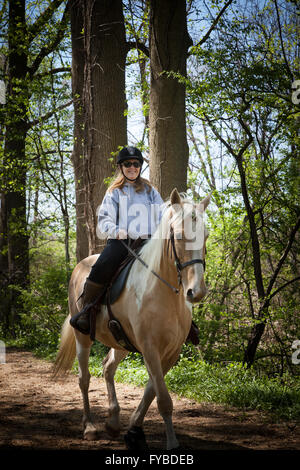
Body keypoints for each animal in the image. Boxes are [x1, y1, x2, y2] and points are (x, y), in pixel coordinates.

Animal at [53, 189, 209, 450]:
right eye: (178, 236)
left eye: (205, 236)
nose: (196, 293)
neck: (164, 292)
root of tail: (80, 265)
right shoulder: (150, 348)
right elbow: (163, 399)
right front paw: (171, 443)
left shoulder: (170, 352)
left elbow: (151, 391)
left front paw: (134, 430)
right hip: (82, 338)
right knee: (84, 379)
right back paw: (90, 427)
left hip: (121, 342)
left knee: (107, 368)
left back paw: (113, 422)